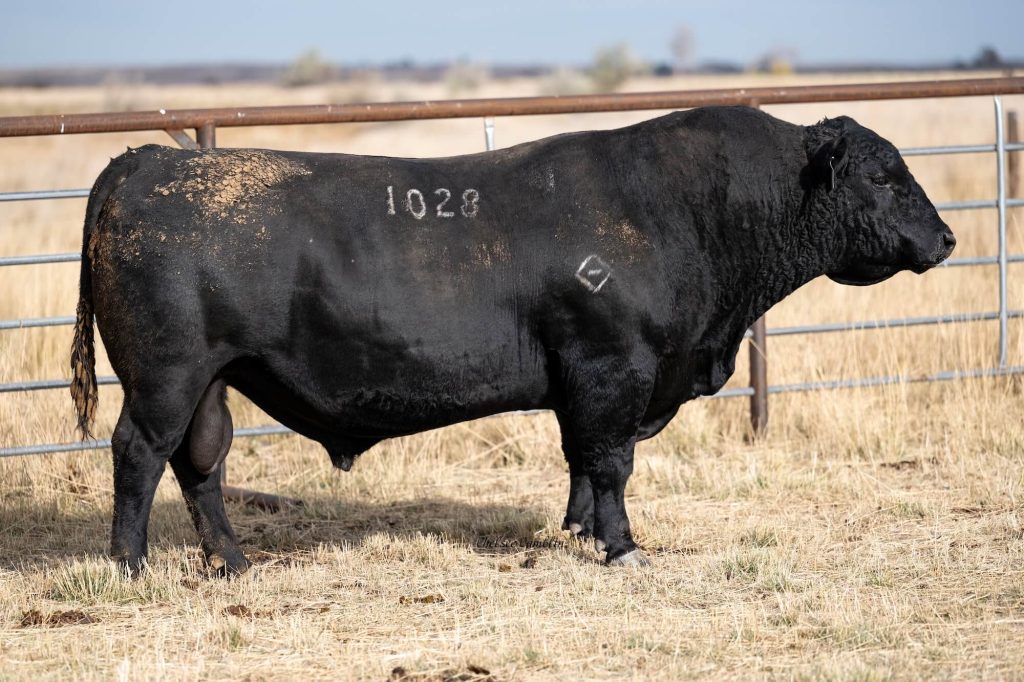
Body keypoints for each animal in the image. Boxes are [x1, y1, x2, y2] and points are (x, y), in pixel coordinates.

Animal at [70, 106, 955, 576]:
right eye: (884, 176)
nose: (945, 239)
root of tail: (146, 161)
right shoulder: (612, 368)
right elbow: (611, 463)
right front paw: (621, 548)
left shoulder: (584, 383)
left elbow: (580, 462)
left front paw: (578, 530)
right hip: (166, 377)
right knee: (140, 454)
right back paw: (129, 564)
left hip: (212, 380)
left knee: (202, 463)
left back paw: (232, 561)